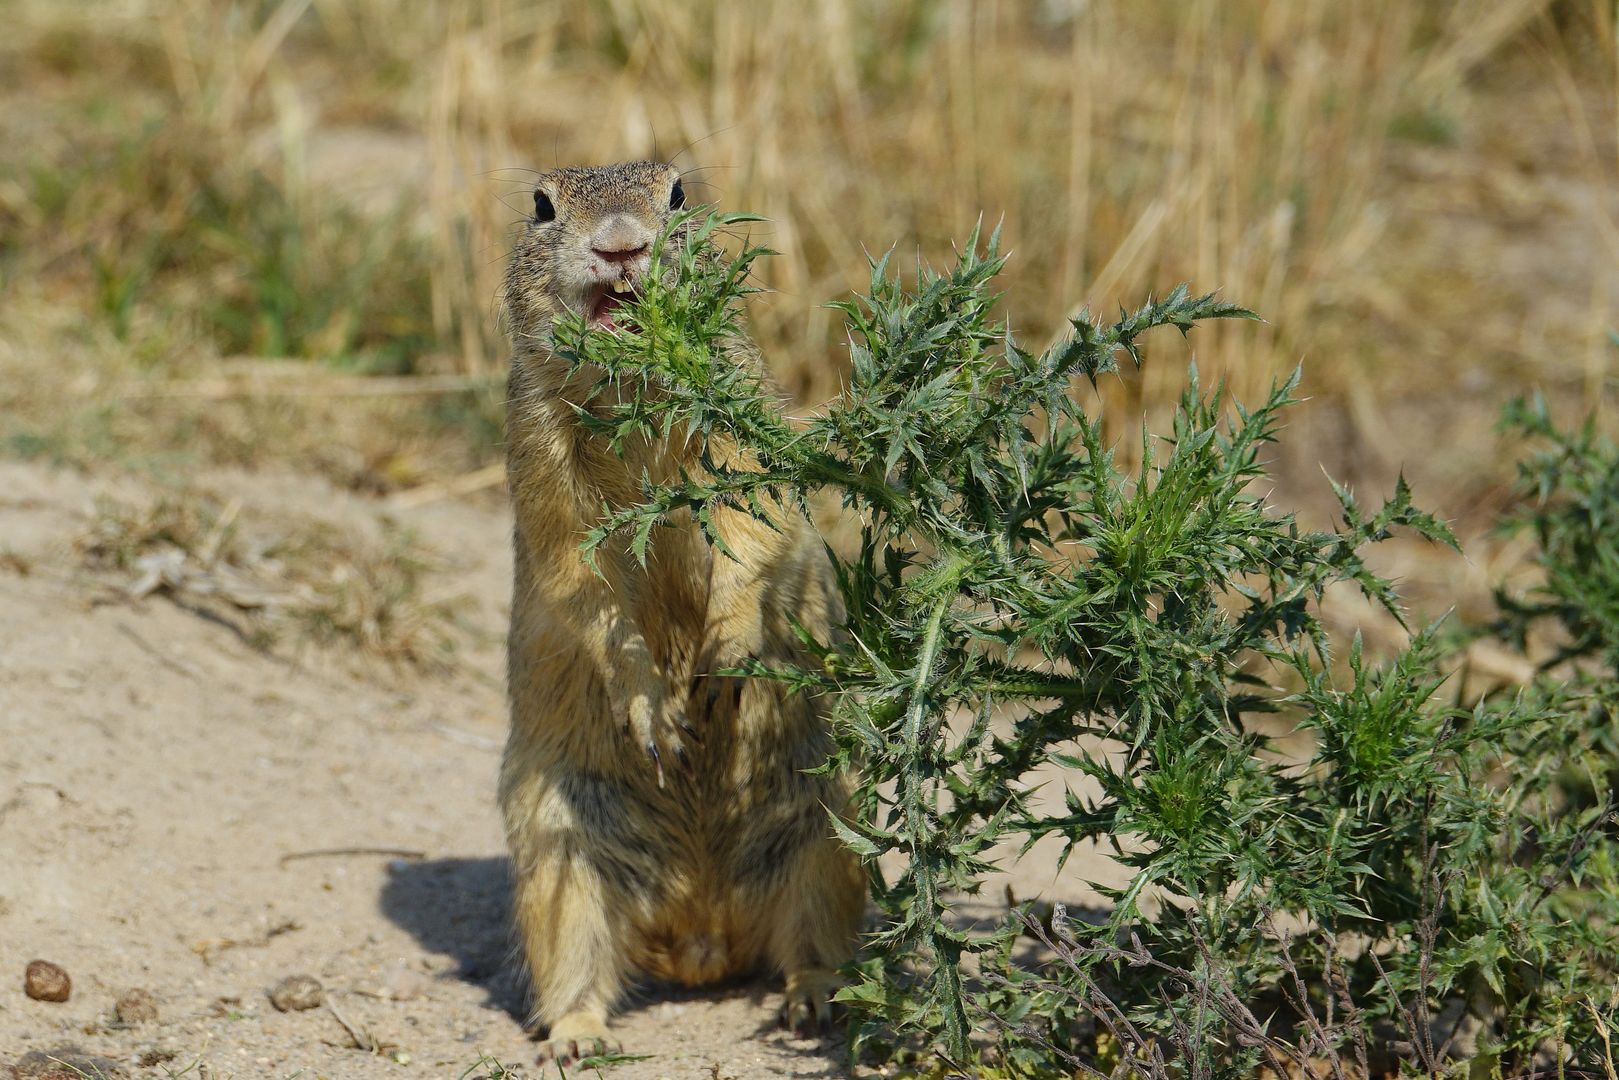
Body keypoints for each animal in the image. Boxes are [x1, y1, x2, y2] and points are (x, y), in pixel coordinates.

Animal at [498, 160, 867, 1062]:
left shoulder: (741, 424)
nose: (621, 244)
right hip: (558, 852)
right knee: (573, 956)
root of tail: (701, 936)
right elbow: (579, 577)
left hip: (826, 831)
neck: (633, 386)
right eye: (541, 205)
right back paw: (576, 1036)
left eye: (676, 194)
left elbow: (750, 528)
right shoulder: (537, 451)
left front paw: (729, 657)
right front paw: (653, 709)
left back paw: (813, 1000)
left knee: (814, 940)